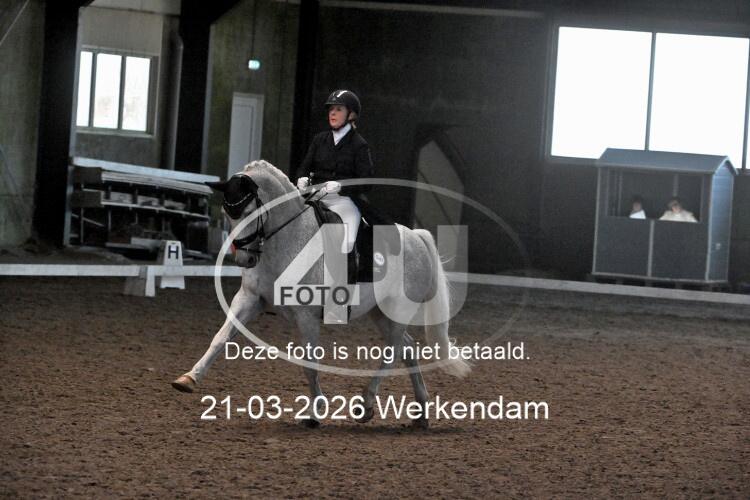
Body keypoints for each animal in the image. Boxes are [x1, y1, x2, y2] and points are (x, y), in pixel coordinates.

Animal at [171, 160, 470, 428]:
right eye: (228, 214)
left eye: (249, 212)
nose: (244, 258)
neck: (287, 239)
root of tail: (417, 237)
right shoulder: (249, 299)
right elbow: (220, 338)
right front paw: (188, 379)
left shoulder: (306, 315)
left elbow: (309, 363)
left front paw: (315, 413)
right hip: (380, 312)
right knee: (406, 348)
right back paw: (420, 414)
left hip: (398, 309)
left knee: (394, 350)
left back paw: (366, 404)